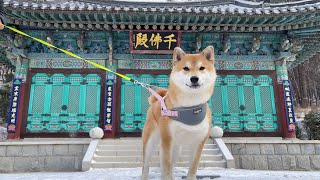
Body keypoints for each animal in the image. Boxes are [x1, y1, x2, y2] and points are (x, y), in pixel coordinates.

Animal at [141, 45, 216, 179]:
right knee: (146, 166)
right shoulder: (167, 139)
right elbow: (166, 167)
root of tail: (157, 100)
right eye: (186, 68)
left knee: (171, 165)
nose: (194, 78)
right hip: (151, 141)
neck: (190, 108)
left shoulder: (199, 143)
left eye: (202, 68)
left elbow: (193, 168)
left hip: (176, 148)